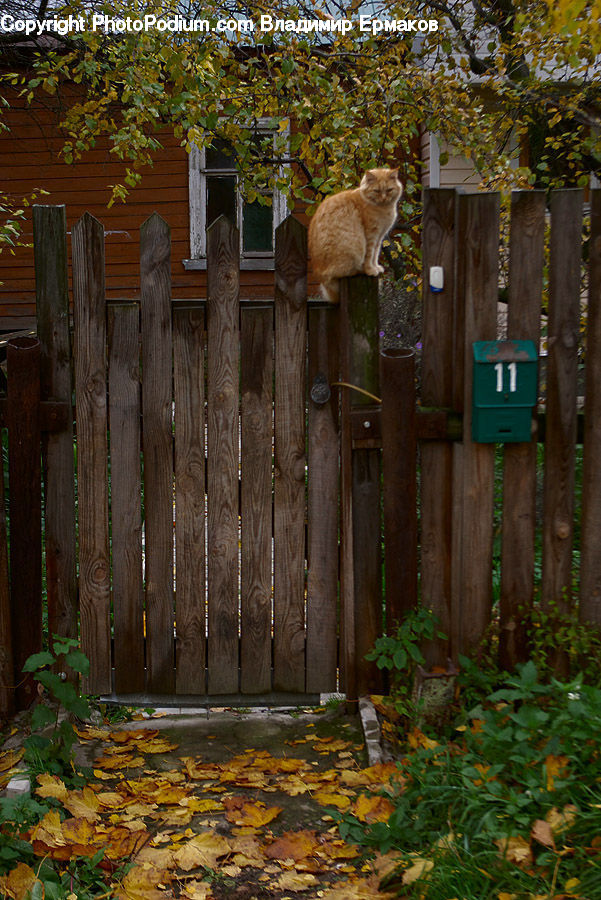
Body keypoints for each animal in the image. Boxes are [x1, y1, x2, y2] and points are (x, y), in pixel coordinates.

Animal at [308, 169, 400, 306]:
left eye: (389, 190)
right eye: (376, 191)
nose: (383, 198)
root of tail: (323, 281)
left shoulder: (379, 238)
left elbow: (375, 255)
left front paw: (376, 267)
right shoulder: (371, 236)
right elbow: (369, 256)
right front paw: (370, 270)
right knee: (345, 273)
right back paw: (360, 270)